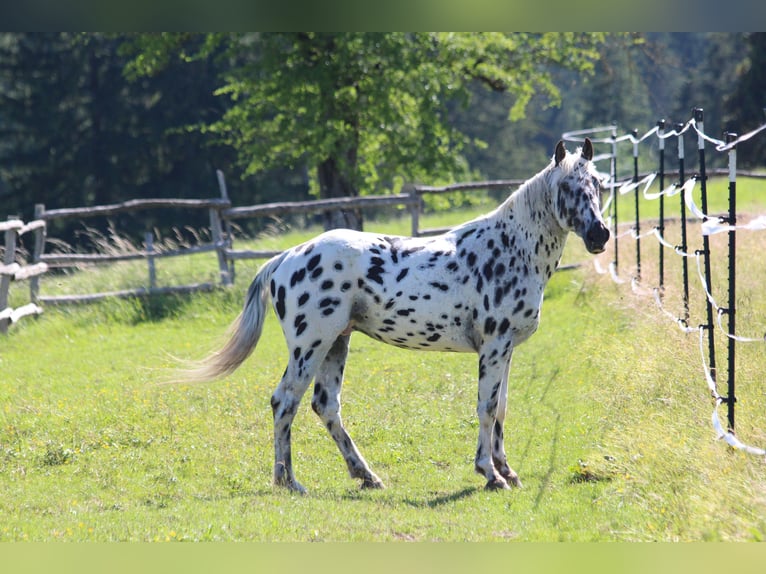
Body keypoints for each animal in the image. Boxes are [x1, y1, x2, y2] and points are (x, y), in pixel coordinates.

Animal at [181, 139, 609, 493]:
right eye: (567, 188)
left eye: (599, 184)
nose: (599, 235)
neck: (509, 248)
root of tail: (286, 257)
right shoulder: (494, 346)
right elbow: (486, 408)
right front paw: (490, 474)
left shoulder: (506, 350)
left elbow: (501, 406)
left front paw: (507, 471)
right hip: (310, 345)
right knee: (285, 401)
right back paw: (289, 481)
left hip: (336, 343)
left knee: (325, 405)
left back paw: (365, 476)